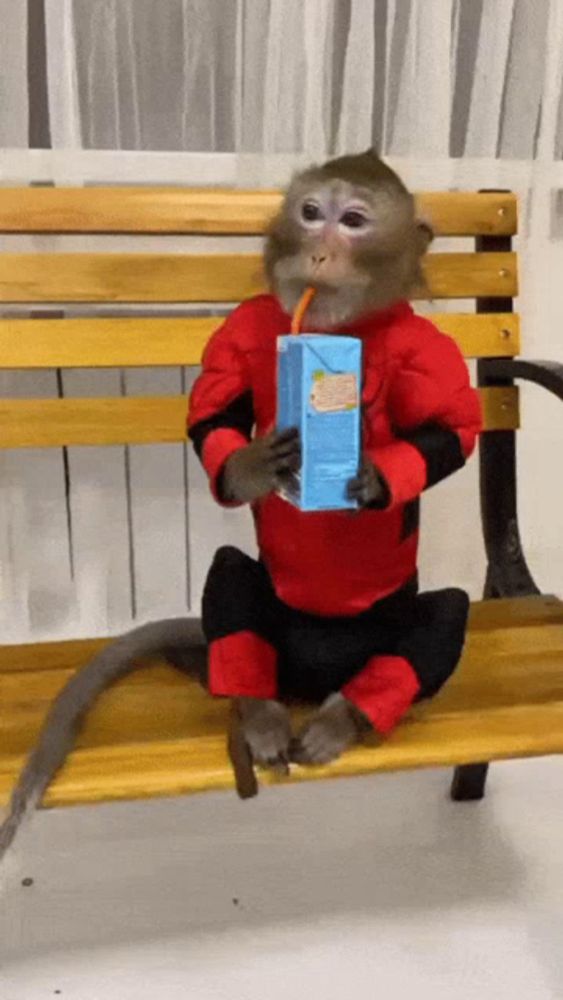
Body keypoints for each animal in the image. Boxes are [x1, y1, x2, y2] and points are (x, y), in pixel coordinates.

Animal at [0, 150, 481, 861]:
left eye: (354, 221)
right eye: (310, 212)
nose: (318, 251)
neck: (340, 328)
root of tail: (305, 684)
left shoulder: (428, 349)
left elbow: (455, 428)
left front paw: (371, 480)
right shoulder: (244, 327)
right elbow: (212, 414)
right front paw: (254, 465)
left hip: (373, 646)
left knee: (447, 613)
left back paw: (345, 717)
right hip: (271, 644)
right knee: (229, 573)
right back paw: (255, 709)